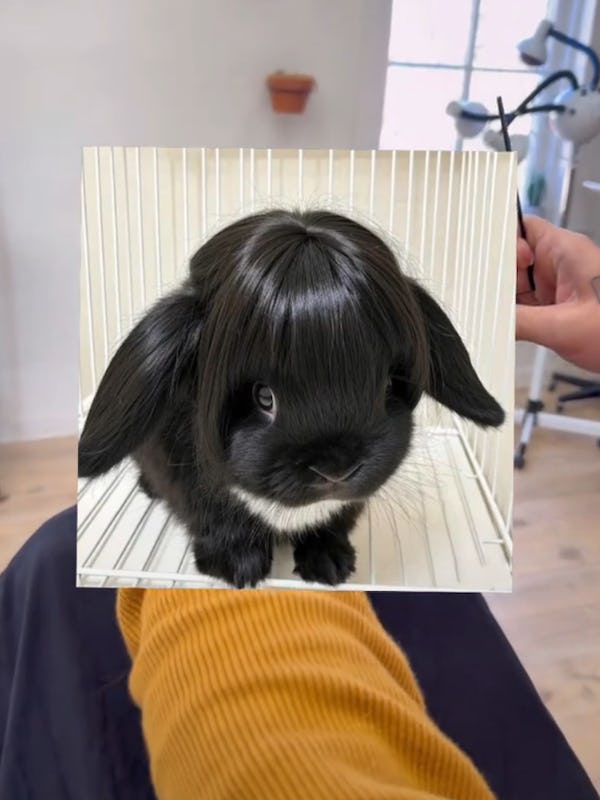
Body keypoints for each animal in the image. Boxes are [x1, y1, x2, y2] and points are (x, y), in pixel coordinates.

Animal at [78, 208, 505, 588]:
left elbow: (331, 524)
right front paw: (239, 568)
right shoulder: (193, 489)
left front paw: (331, 565)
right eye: (264, 397)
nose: (336, 472)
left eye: (387, 384)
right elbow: (219, 521)